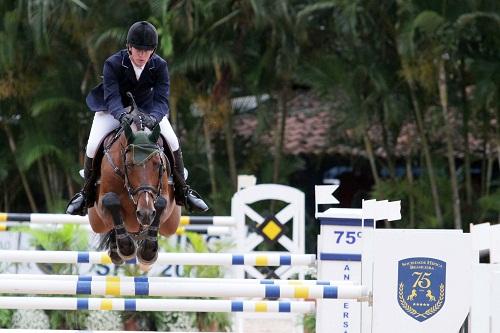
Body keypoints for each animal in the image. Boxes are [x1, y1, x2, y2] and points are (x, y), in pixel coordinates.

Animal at [89, 113, 181, 268]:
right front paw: (126, 247)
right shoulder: (101, 207)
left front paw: (148, 251)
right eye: (129, 164)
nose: (145, 213)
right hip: (97, 223)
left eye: (158, 164)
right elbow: (111, 200)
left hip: (171, 225)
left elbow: (161, 203)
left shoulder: (165, 201)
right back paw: (116, 250)